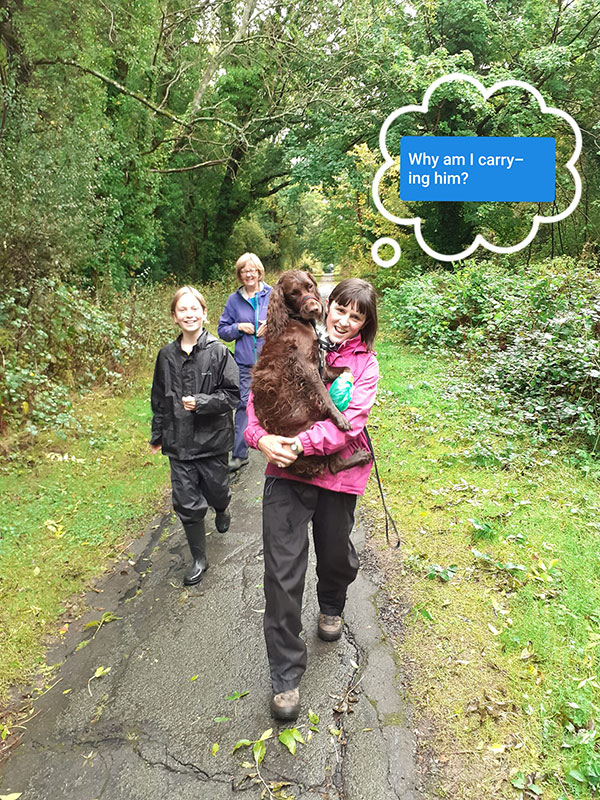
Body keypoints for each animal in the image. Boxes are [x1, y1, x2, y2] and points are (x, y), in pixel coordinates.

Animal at [251, 272, 372, 478]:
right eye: (293, 293)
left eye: (309, 286)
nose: (315, 308)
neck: (297, 321)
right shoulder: (307, 367)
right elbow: (324, 395)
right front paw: (340, 418)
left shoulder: (323, 367)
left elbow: (347, 368)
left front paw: (344, 387)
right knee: (334, 465)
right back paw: (361, 457)